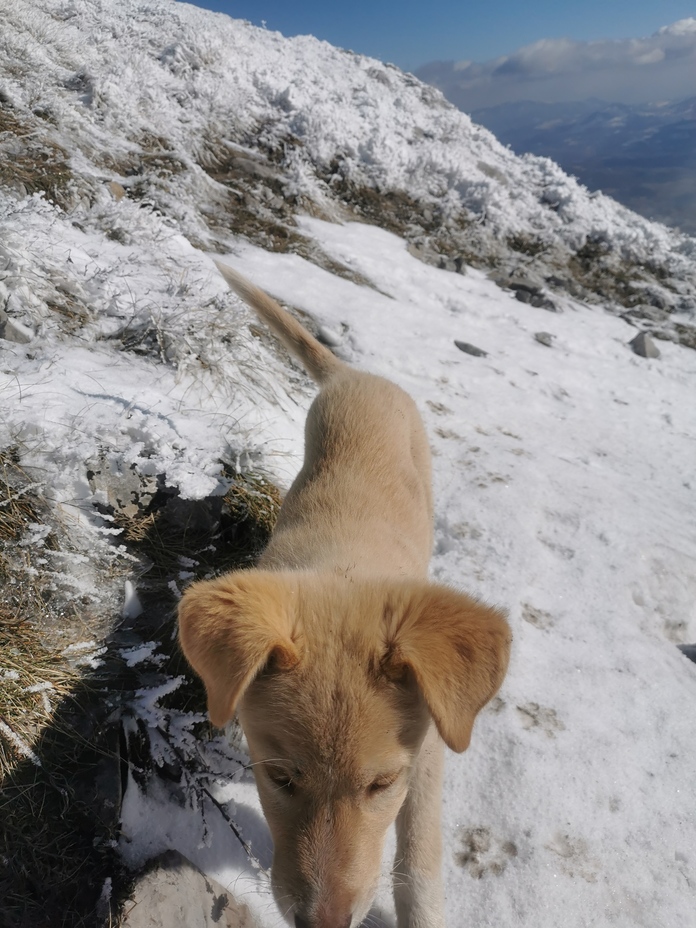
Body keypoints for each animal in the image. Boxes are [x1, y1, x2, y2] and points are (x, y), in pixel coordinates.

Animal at [177, 260, 508, 928]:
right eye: (280, 778)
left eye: (381, 785)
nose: (323, 922)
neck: (345, 577)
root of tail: (355, 375)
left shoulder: (427, 758)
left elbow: (418, 865)